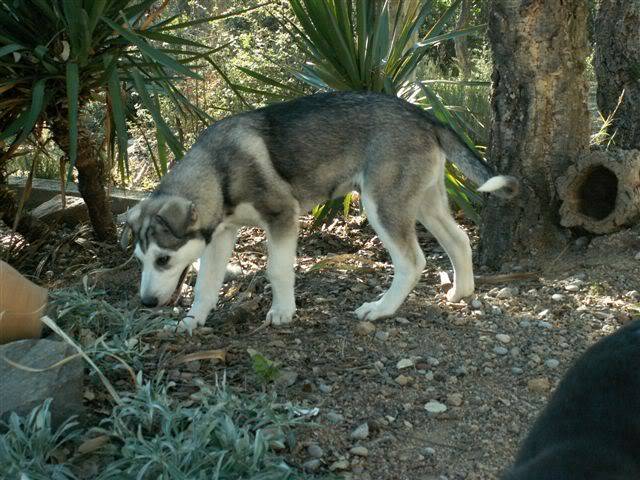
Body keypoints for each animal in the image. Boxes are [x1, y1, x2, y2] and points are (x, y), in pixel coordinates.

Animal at [122, 92, 516, 332]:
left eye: (163, 259)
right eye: (141, 260)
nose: (146, 303)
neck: (219, 173)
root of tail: (424, 115)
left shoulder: (282, 217)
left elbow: (277, 269)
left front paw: (283, 311)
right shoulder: (220, 236)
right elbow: (206, 284)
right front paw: (192, 320)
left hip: (382, 204)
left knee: (413, 261)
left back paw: (382, 308)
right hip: (424, 202)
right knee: (459, 239)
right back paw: (461, 292)